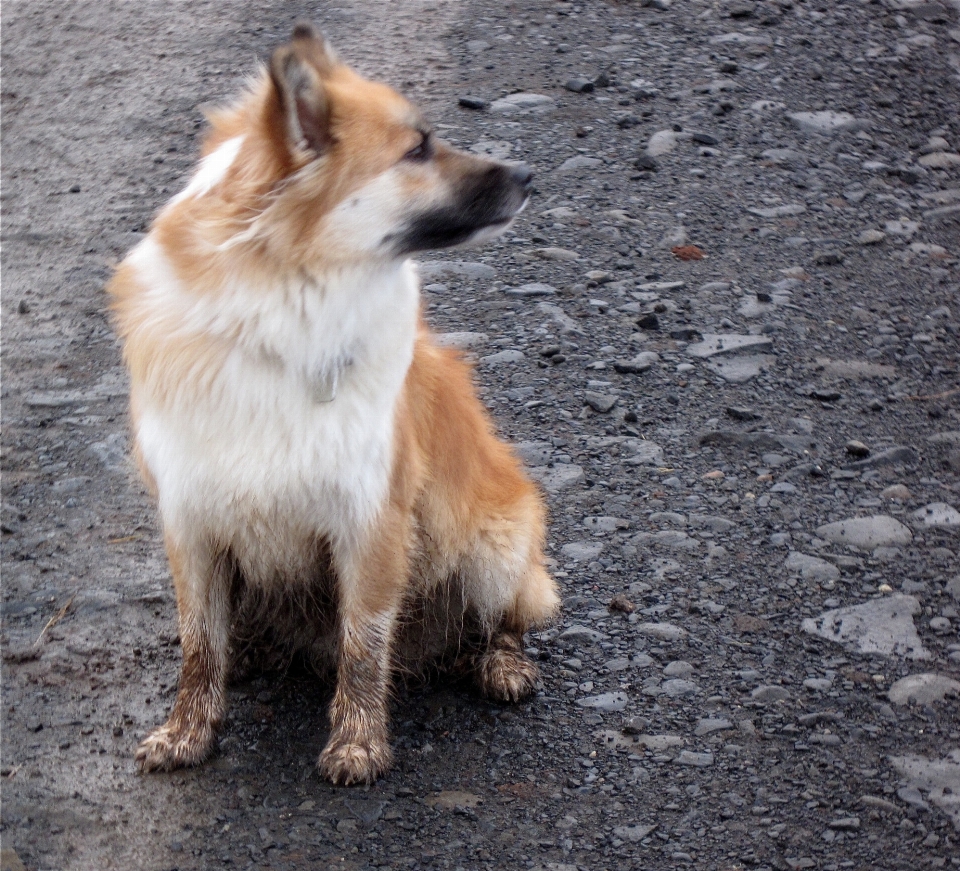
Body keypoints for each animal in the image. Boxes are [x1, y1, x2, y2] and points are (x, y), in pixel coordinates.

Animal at [110, 23, 564, 788]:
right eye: (417, 148)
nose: (531, 175)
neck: (273, 324)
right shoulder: (191, 520)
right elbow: (199, 646)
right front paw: (187, 732)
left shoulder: (369, 521)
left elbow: (363, 644)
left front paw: (357, 743)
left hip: (497, 549)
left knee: (502, 621)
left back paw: (500, 664)